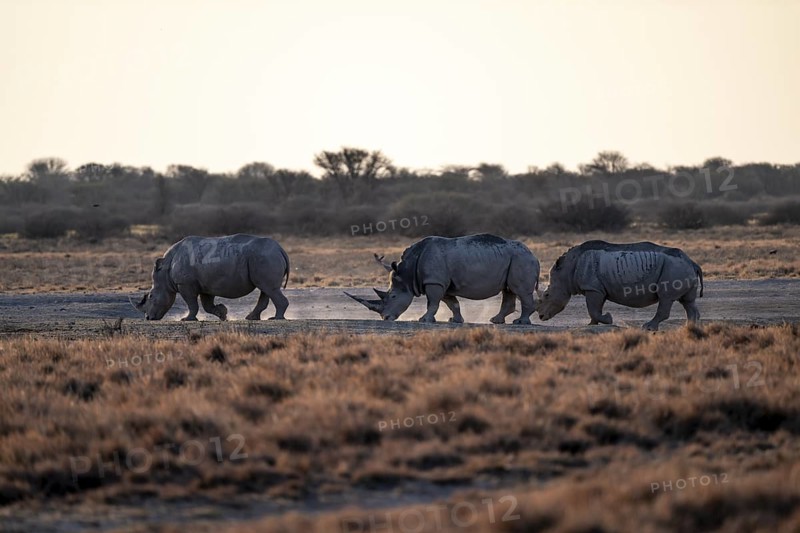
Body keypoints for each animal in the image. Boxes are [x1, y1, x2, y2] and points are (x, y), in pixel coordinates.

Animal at [130, 234, 289, 321]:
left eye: (151, 296)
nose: (148, 318)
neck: (165, 272)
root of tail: (280, 249)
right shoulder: (206, 285)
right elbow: (207, 305)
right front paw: (223, 313)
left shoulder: (185, 284)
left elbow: (192, 304)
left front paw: (186, 319)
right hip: (263, 257)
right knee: (266, 288)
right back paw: (251, 318)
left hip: (264, 256)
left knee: (269, 288)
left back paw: (276, 318)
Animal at [345, 234, 540, 324]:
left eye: (392, 296)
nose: (385, 318)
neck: (408, 274)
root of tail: (534, 256)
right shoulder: (440, 282)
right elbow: (451, 303)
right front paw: (455, 321)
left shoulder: (434, 281)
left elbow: (433, 303)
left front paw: (424, 320)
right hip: (514, 260)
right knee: (509, 289)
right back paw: (495, 321)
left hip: (521, 259)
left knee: (520, 291)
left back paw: (520, 322)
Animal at [537, 240, 703, 330]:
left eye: (547, 295)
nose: (541, 316)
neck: (566, 271)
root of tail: (692, 262)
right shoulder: (598, 289)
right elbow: (595, 310)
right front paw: (592, 324)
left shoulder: (592, 288)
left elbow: (593, 309)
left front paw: (608, 319)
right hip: (679, 266)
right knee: (688, 301)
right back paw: (689, 328)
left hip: (674, 267)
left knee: (666, 298)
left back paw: (648, 328)